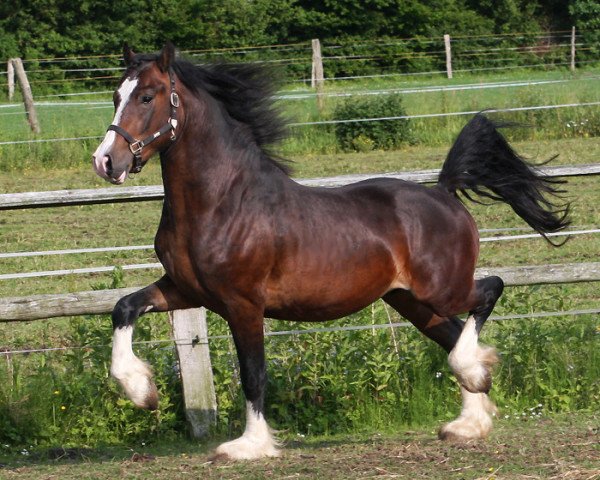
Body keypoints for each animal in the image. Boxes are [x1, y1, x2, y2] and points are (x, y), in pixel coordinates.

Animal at [91, 43, 568, 460]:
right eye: (115, 96)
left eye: (147, 96)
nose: (106, 162)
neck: (223, 201)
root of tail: (443, 192)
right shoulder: (186, 289)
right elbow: (123, 307)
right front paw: (142, 391)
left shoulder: (242, 304)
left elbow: (253, 375)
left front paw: (248, 447)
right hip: (412, 301)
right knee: (451, 334)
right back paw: (468, 422)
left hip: (443, 289)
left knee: (490, 290)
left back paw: (473, 373)